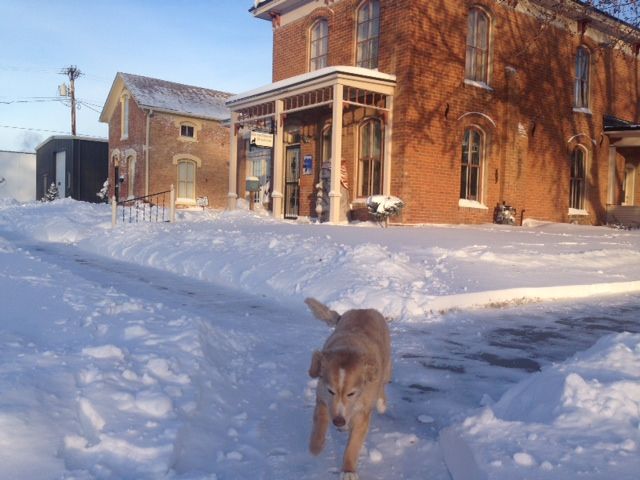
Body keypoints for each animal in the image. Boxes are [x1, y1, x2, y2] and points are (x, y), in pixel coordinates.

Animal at [304, 298, 390, 478]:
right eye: (331, 391)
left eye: (352, 393)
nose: (338, 421)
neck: (348, 348)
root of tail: (364, 309)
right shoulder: (322, 397)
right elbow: (321, 420)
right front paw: (316, 445)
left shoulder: (362, 414)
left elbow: (353, 445)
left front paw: (348, 470)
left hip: (385, 368)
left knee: (382, 384)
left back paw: (381, 403)